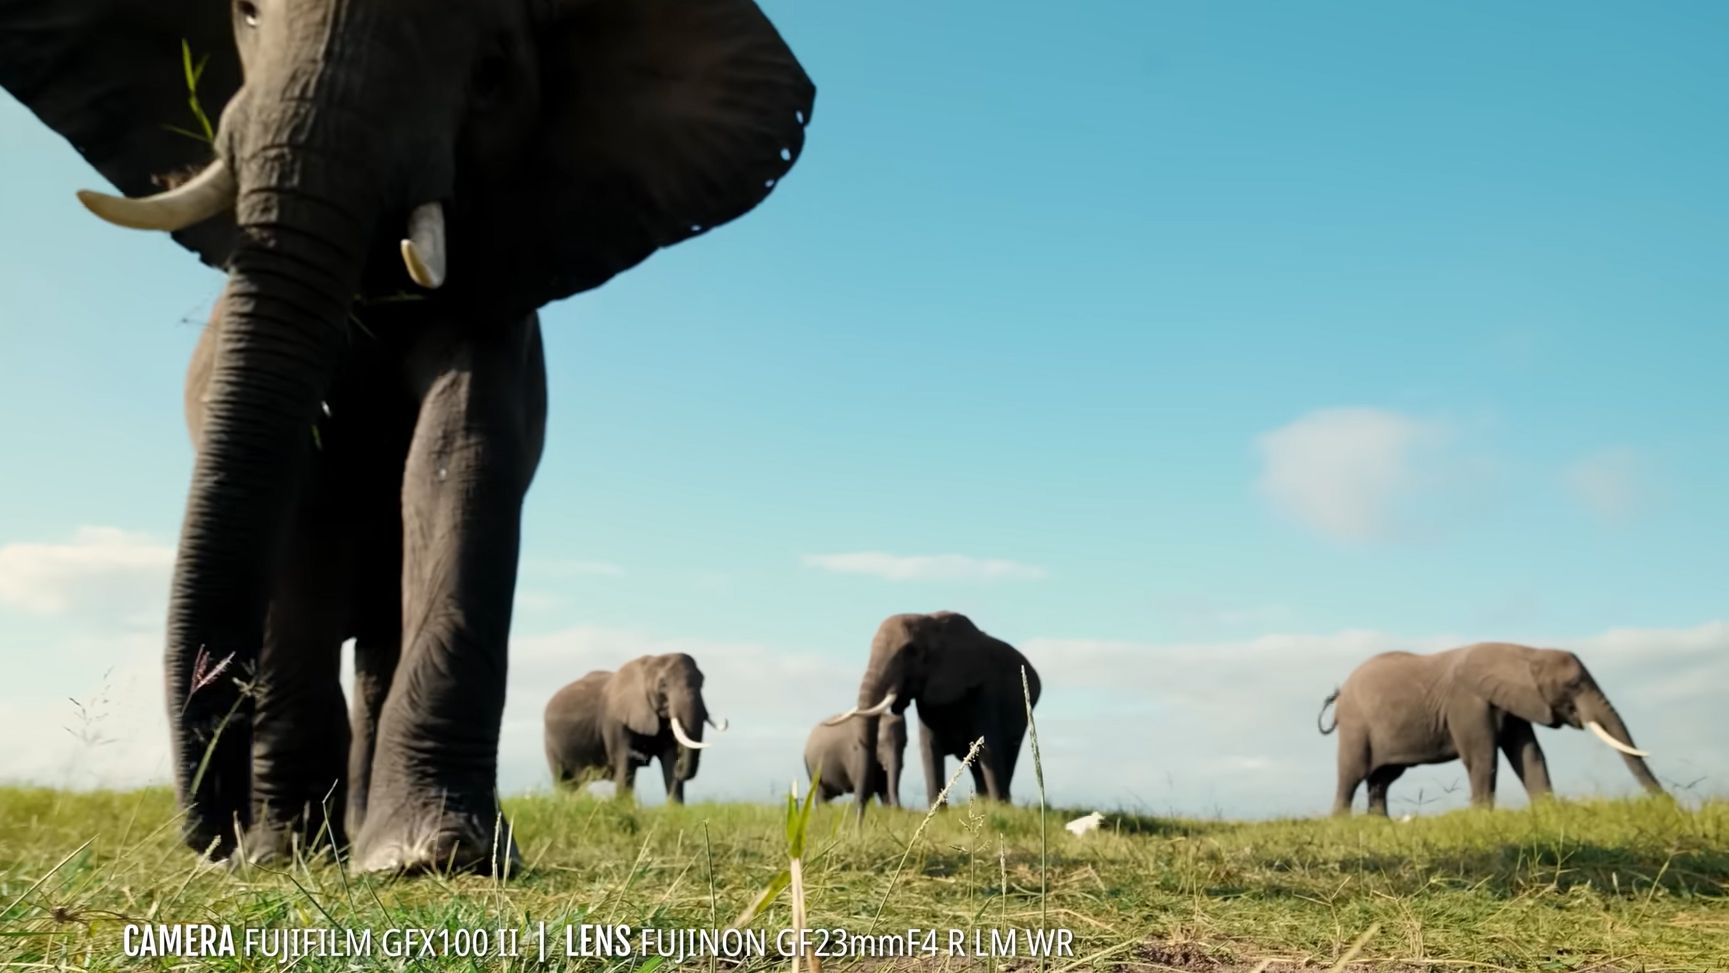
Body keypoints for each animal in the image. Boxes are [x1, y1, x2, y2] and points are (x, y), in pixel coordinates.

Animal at [543, 654, 727, 804]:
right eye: (663, 685)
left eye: (702, 681)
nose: (680, 766)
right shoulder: (615, 722)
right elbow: (625, 764)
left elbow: (669, 759)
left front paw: (675, 810)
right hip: (550, 743)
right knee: (563, 780)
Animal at [827, 612, 1040, 815]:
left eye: (910, 651)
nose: (857, 820)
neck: (930, 621)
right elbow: (929, 748)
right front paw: (939, 813)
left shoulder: (985, 689)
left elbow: (989, 746)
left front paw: (997, 808)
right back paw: (983, 802)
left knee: (1006, 755)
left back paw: (998, 803)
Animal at [1319, 642, 1664, 816]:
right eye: (1574, 685)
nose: (1667, 803)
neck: (1526, 653)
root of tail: (1340, 693)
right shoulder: (1467, 702)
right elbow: (1483, 757)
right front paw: (1482, 817)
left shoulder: (1513, 704)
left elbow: (1529, 754)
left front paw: (1548, 812)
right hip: (1356, 725)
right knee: (1352, 774)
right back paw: (1342, 823)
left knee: (1382, 779)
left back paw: (1380, 824)